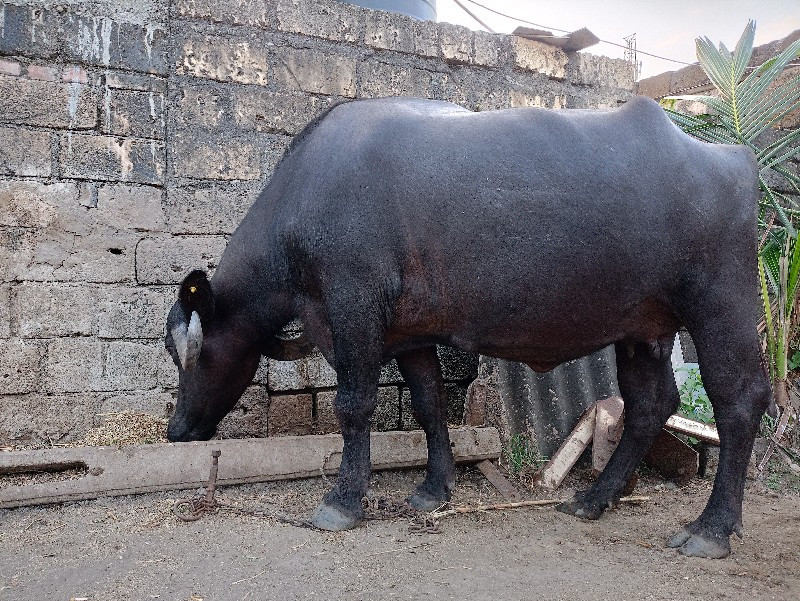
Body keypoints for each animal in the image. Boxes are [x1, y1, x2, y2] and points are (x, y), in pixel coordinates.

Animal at [166, 95, 772, 556]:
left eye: (191, 353)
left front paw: (342, 501)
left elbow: (354, 406)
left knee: (740, 401)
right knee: (651, 404)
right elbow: (429, 404)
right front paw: (434, 489)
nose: (175, 430)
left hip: (723, 307)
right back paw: (591, 499)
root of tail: (733, 159)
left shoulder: (355, 307)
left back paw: (711, 529)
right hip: (642, 329)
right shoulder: (408, 336)